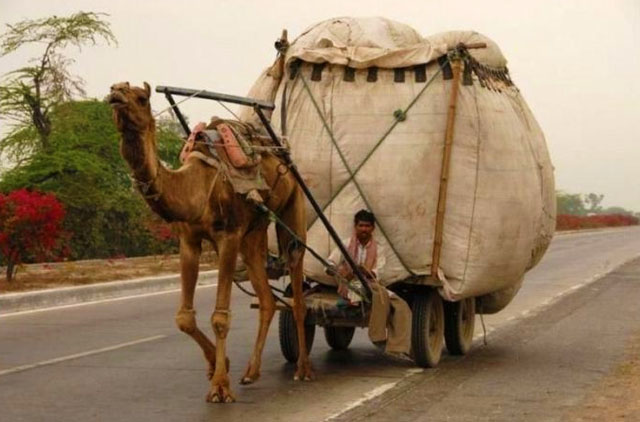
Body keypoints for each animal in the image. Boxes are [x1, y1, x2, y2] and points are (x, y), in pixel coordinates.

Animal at [107, 82, 313, 403]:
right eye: (115, 88)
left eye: (141, 98)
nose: (115, 93)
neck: (196, 186)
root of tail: (283, 156)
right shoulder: (189, 241)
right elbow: (184, 318)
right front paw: (221, 364)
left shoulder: (227, 236)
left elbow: (220, 317)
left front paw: (219, 387)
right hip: (254, 232)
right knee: (267, 299)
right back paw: (251, 372)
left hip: (294, 206)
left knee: (298, 288)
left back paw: (303, 369)